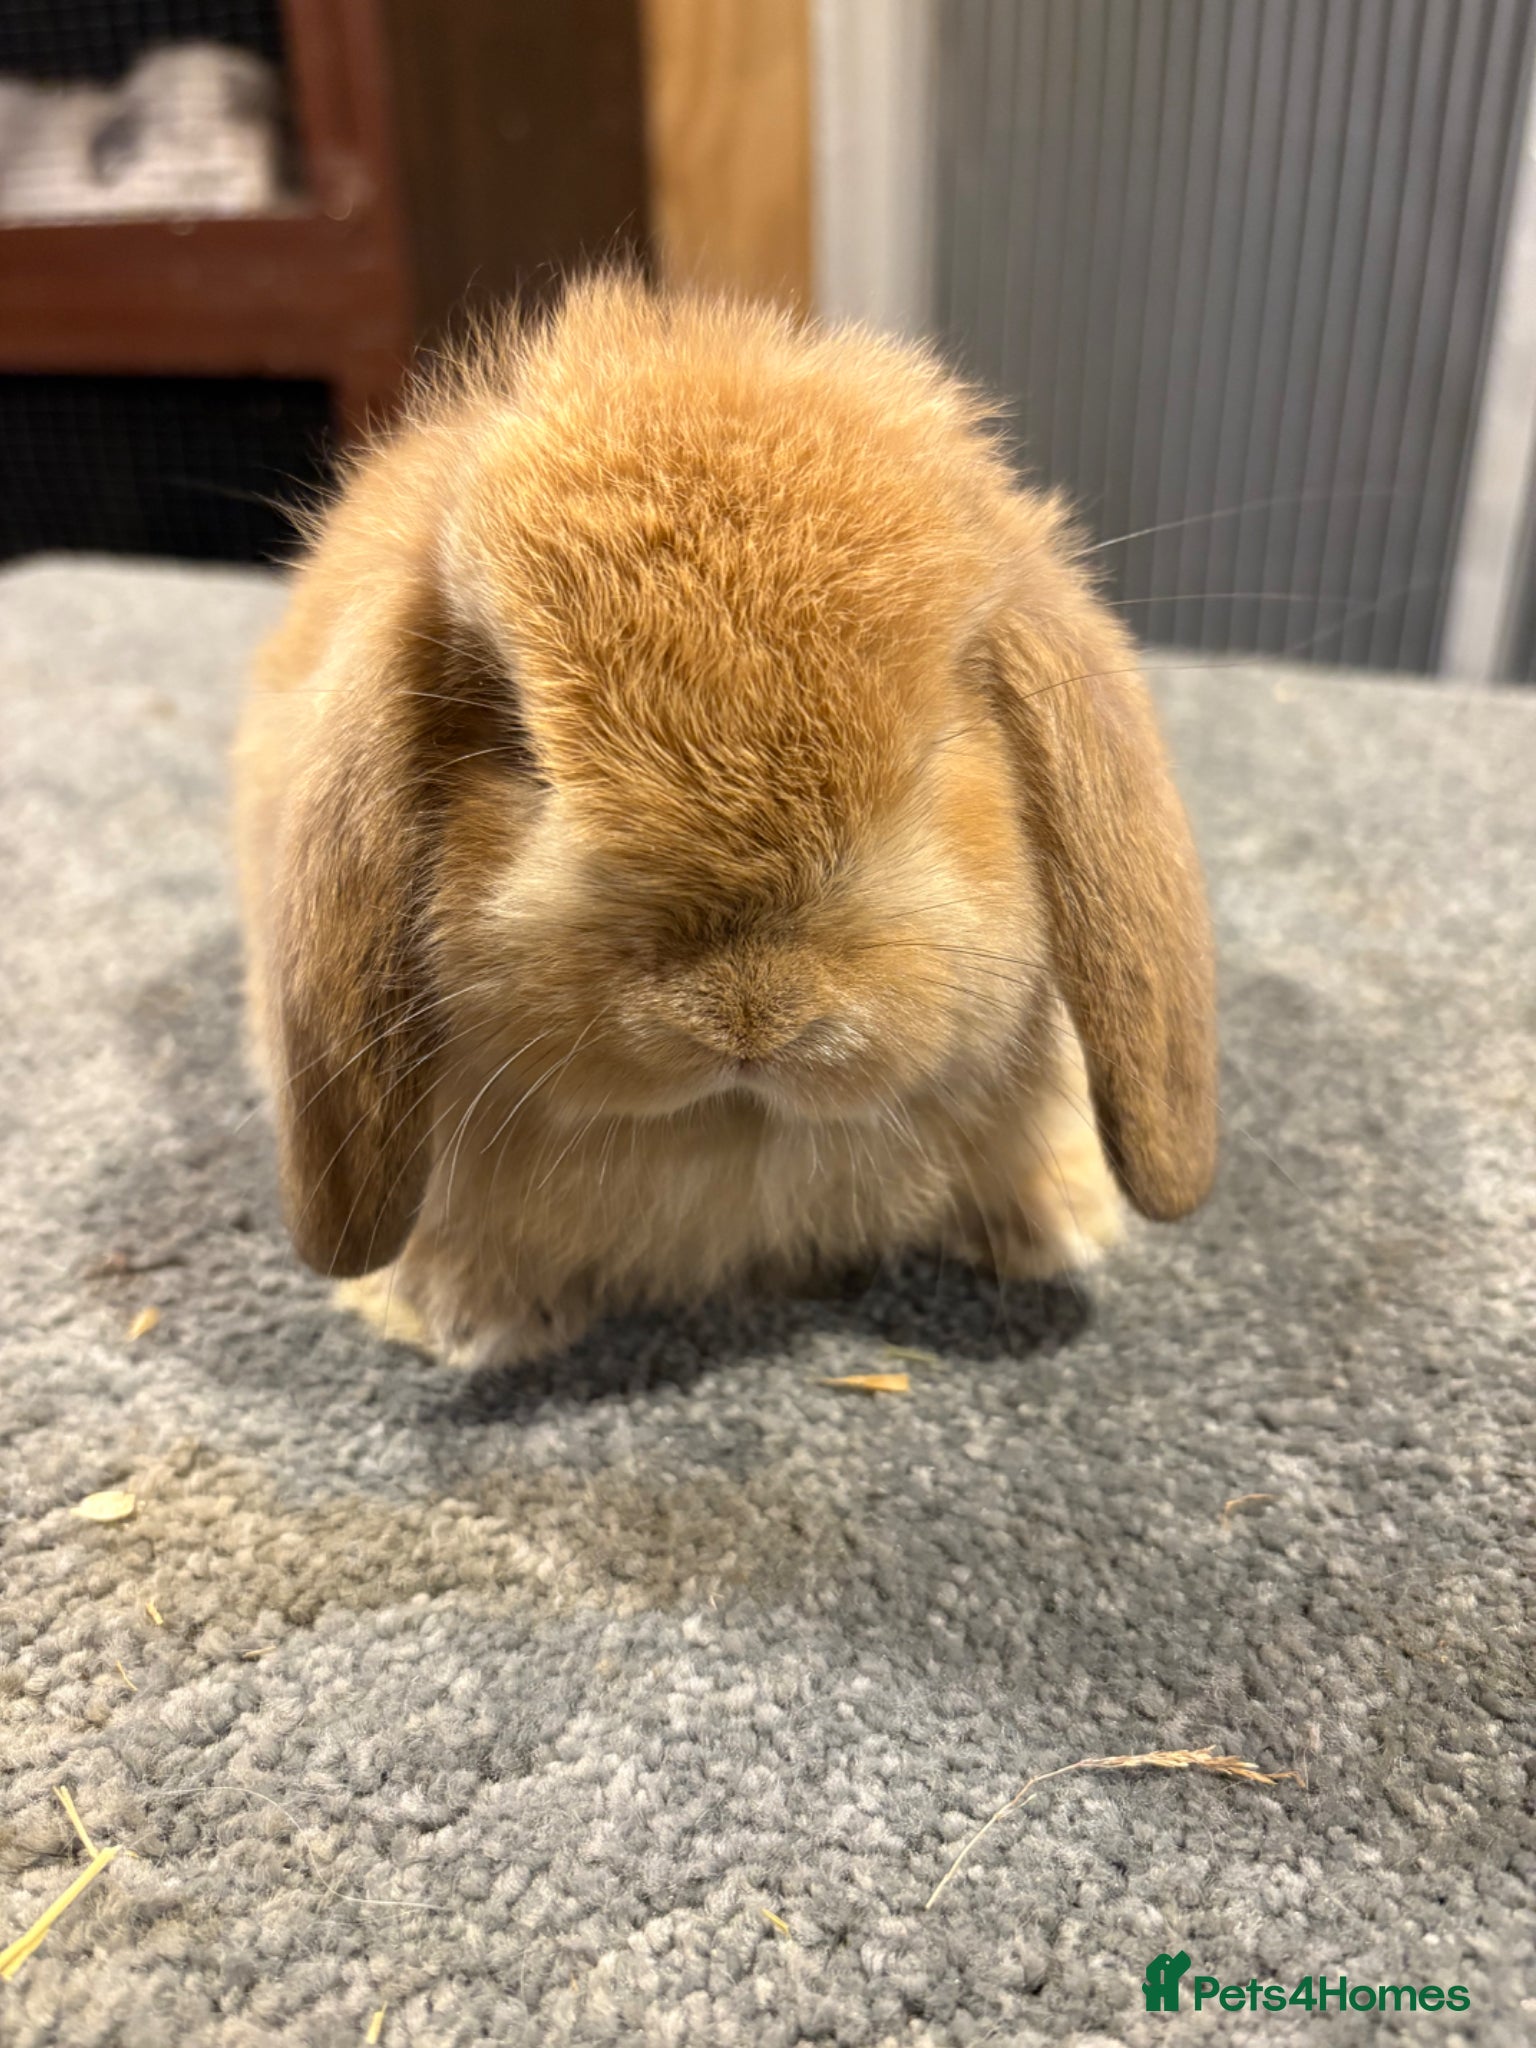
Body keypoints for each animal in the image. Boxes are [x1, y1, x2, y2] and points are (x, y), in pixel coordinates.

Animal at [234, 277, 1217, 1366]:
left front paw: (1057, 1227)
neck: (736, 1128)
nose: (748, 1014)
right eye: (523, 746)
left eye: (939, 745)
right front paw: (473, 1316)